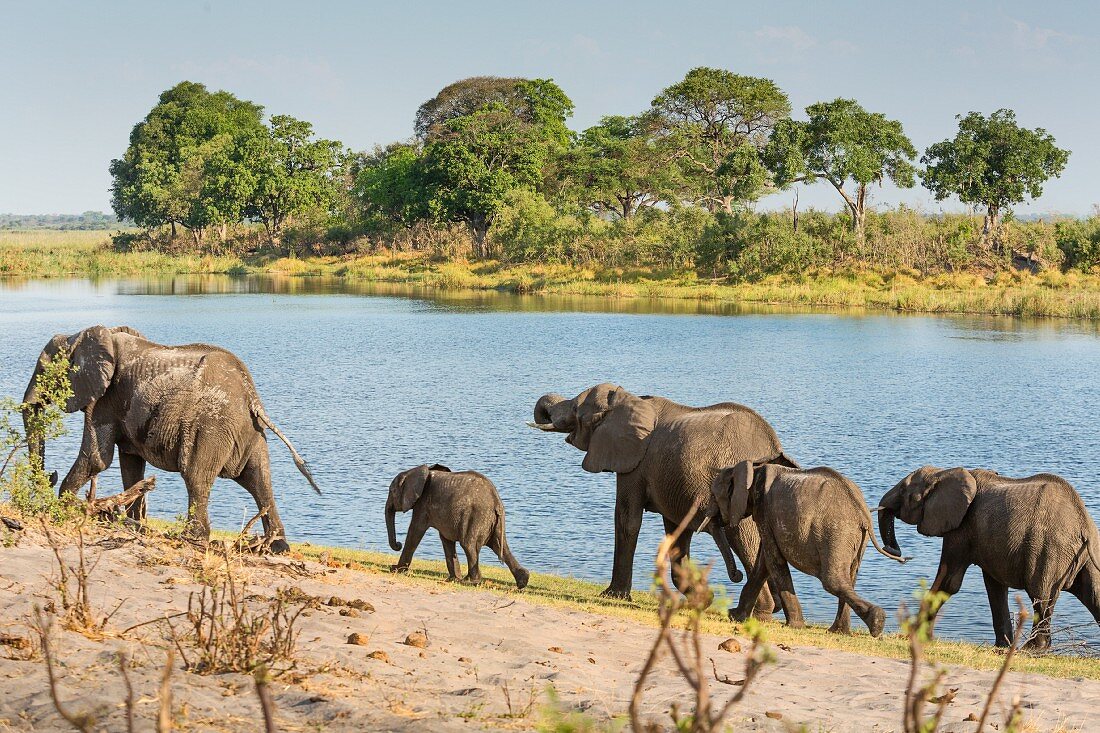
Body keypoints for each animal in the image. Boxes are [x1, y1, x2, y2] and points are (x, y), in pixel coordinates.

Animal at [21, 325, 319, 548]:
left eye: (43, 370)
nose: (50, 475)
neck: (83, 334)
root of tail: (251, 395)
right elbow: (131, 465)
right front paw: (136, 526)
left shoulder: (104, 400)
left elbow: (97, 458)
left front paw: (65, 508)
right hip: (249, 431)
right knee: (259, 479)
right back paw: (277, 547)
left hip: (211, 426)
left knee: (197, 476)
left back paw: (192, 539)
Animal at [385, 462, 530, 589]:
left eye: (392, 491)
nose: (398, 544)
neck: (415, 471)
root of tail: (497, 501)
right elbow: (446, 540)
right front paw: (453, 579)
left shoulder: (423, 504)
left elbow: (415, 531)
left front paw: (395, 569)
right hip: (492, 521)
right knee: (500, 546)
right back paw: (522, 582)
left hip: (476, 517)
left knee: (469, 545)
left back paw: (471, 582)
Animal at [528, 378, 796, 603]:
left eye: (576, 411)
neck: (628, 400)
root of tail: (774, 447)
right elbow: (676, 532)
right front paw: (703, 598)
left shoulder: (635, 463)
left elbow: (627, 520)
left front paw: (612, 596)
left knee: (744, 538)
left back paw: (762, 612)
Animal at [708, 462, 906, 633]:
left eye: (715, 496)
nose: (737, 574)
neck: (752, 469)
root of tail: (863, 512)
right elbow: (763, 562)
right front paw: (735, 616)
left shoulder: (763, 509)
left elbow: (774, 560)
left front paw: (794, 626)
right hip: (854, 537)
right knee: (850, 577)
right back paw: (841, 631)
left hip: (837, 532)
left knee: (833, 580)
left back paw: (875, 622)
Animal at [875, 464, 1100, 647]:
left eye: (903, 490)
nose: (897, 552)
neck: (944, 472)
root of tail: (1084, 524)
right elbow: (995, 587)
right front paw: (1002, 647)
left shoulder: (961, 528)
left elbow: (949, 582)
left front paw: (915, 635)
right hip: (1085, 554)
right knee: (1094, 593)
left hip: (1049, 548)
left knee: (1040, 594)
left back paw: (1033, 649)